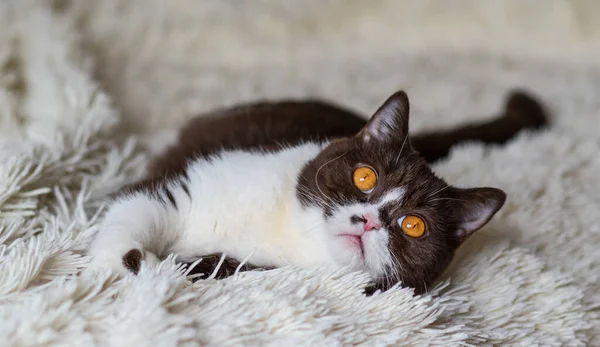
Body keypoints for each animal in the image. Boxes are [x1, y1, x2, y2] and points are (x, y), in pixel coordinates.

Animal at [86, 89, 552, 294]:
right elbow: (145, 203)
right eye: (365, 178)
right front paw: (122, 265)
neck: (295, 233)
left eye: (414, 225)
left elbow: (223, 268)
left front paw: (175, 268)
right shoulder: (197, 176)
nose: (369, 221)